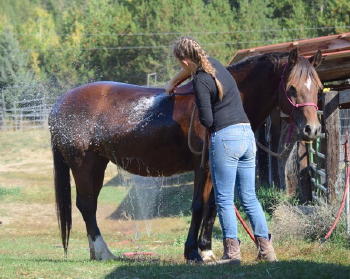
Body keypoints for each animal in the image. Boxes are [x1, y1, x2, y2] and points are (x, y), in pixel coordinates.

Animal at [49, 48, 322, 262]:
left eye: (318, 88)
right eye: (292, 88)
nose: (312, 129)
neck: (220, 96)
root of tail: (60, 104)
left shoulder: (215, 169)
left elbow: (213, 206)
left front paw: (207, 251)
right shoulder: (203, 168)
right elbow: (199, 205)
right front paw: (192, 252)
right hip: (86, 165)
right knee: (87, 205)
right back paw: (103, 252)